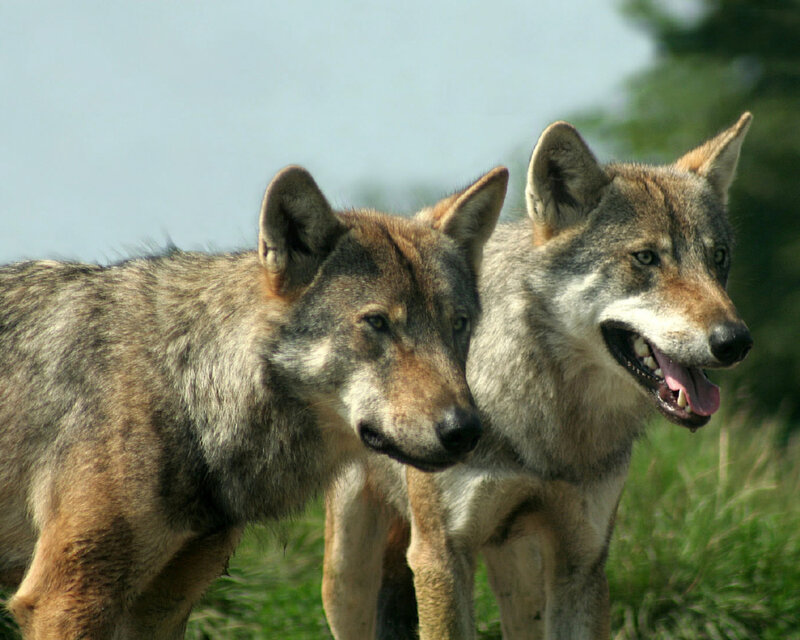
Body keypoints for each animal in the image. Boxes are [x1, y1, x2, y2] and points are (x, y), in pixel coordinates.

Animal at [0, 163, 509, 639]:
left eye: (459, 324)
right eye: (378, 323)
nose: (464, 431)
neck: (185, 388)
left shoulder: (161, 607)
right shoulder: (66, 598)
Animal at [323, 114, 753, 639]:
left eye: (719, 258)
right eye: (646, 258)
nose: (735, 341)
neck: (552, 425)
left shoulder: (582, 558)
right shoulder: (439, 555)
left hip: (520, 572)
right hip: (347, 578)